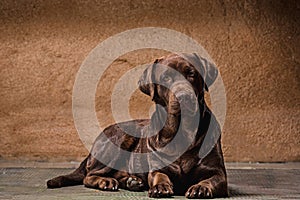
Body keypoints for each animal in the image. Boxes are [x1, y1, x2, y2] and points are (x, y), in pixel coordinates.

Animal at [48, 53, 229, 198]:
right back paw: (107, 182)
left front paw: (200, 188)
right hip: (121, 138)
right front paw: (160, 186)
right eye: (166, 78)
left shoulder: (218, 173)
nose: (184, 96)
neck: (183, 131)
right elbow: (159, 175)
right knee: (89, 175)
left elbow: (211, 180)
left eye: (191, 73)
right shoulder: (157, 168)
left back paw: (132, 181)